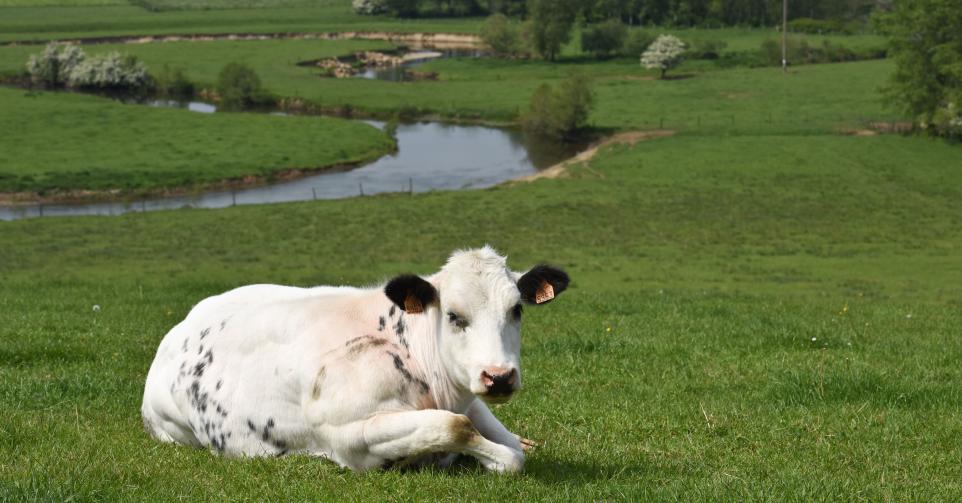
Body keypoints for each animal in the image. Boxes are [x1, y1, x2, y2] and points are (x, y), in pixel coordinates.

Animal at [139, 246, 568, 474]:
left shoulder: (470, 396)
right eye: (453, 315)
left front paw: (517, 443)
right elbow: (455, 427)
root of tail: (179, 328)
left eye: (517, 309)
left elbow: (506, 445)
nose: (499, 376)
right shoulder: (348, 435)